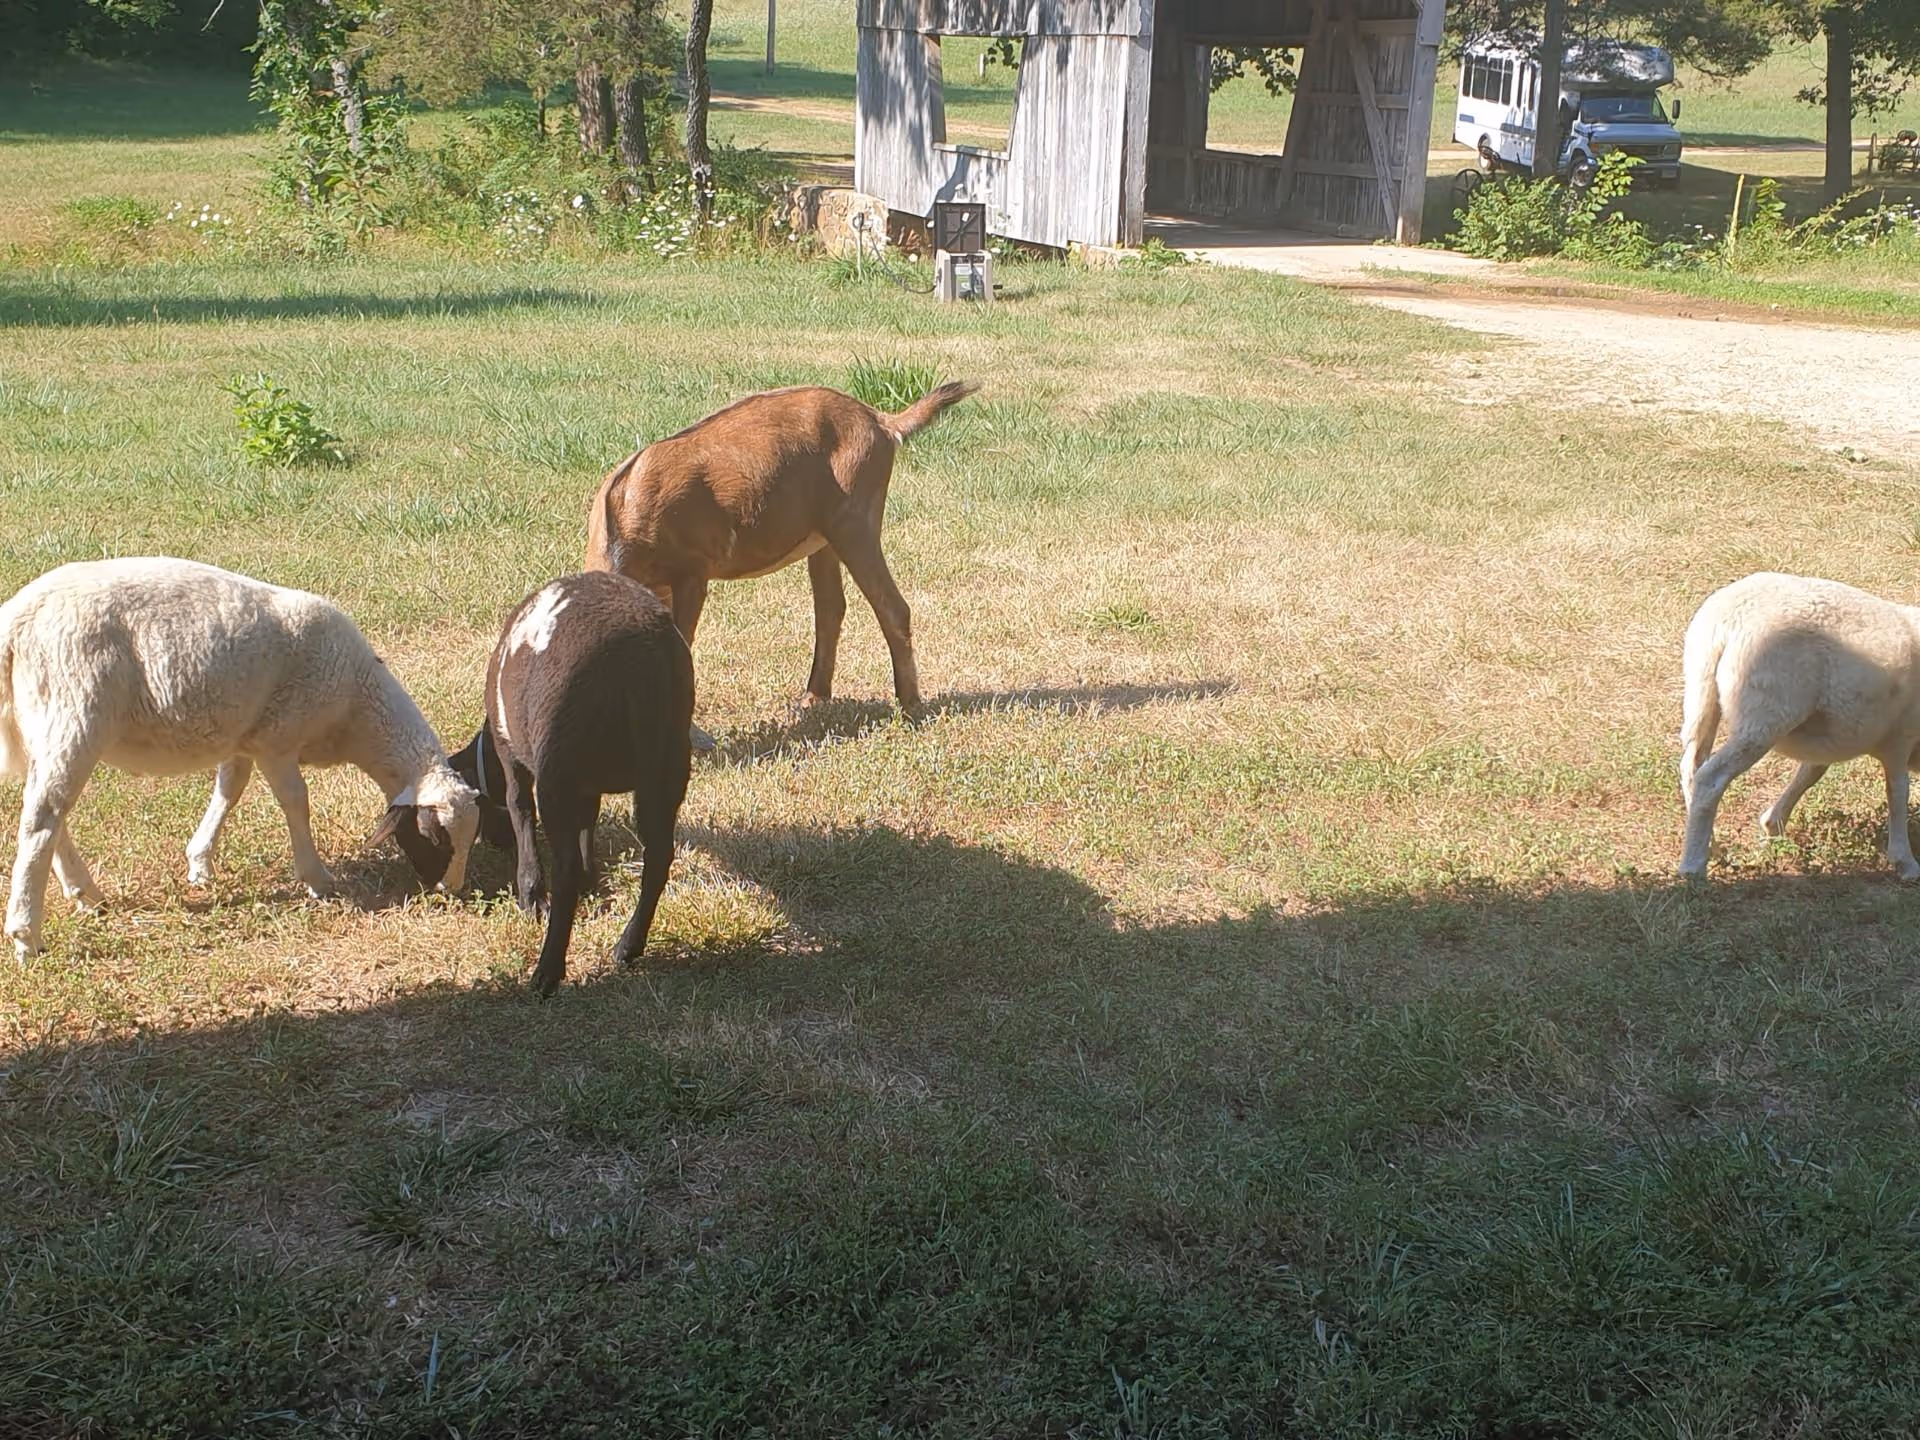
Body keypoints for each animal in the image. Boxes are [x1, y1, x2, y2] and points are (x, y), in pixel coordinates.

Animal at [0, 557, 480, 958]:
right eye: (434, 837)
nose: (451, 891)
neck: (355, 709)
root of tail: (16, 620)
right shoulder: (277, 740)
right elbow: (295, 801)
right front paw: (316, 878)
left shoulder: (244, 738)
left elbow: (229, 791)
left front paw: (200, 863)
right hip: (74, 711)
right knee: (42, 818)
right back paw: (26, 934)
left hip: (42, 726)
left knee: (50, 813)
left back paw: (85, 894)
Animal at [449, 570, 694, 996]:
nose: (494, 841)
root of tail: (639, 659)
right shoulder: (585, 781)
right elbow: (588, 822)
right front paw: (591, 878)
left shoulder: (518, 762)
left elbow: (520, 812)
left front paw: (530, 897)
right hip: (668, 760)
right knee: (658, 856)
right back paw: (628, 946)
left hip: (557, 768)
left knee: (564, 868)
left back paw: (547, 971)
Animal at [583, 380, 980, 739]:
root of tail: (882, 421)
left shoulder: (692, 572)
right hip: (823, 537)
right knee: (831, 607)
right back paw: (812, 698)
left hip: (855, 518)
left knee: (891, 606)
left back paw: (910, 707)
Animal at [1679, 571, 1920, 879]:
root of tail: (1726, 621)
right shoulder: (1901, 736)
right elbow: (1898, 792)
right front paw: (1905, 861)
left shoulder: (1833, 739)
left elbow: (1811, 772)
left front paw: (1773, 823)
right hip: (1764, 713)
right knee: (1711, 777)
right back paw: (1693, 866)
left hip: (1702, 693)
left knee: (1691, 766)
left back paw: (1709, 845)